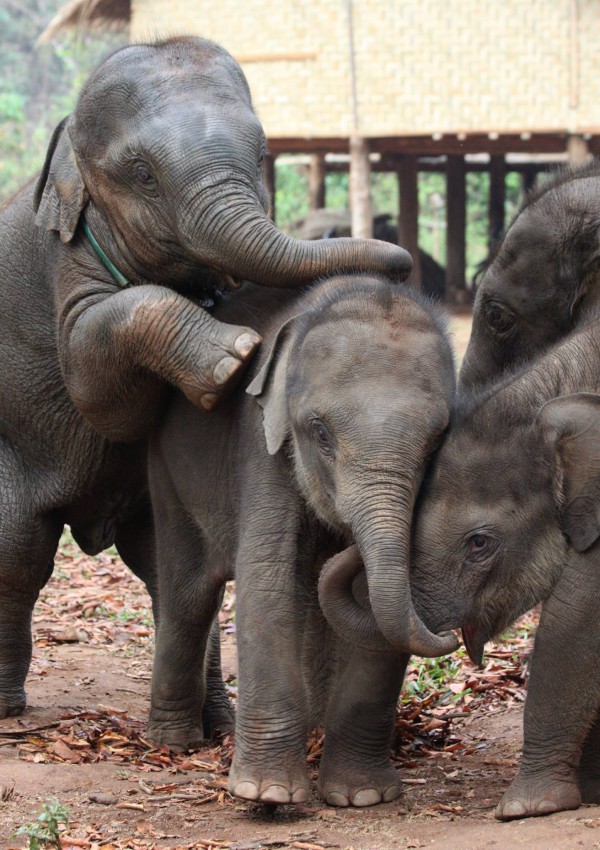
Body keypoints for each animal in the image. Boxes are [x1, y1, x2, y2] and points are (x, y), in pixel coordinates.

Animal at [0, 36, 412, 723]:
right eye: (141, 172)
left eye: (262, 152)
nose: (402, 263)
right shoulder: (65, 263)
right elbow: (94, 381)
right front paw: (233, 359)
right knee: (20, 549)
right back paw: (9, 710)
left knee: (164, 569)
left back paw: (216, 719)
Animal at [146, 273, 458, 807]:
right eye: (319, 432)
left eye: (437, 440)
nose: (453, 635)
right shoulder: (260, 443)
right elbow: (267, 579)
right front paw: (267, 795)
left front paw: (360, 797)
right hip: (165, 471)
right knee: (191, 596)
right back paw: (174, 742)